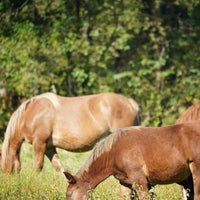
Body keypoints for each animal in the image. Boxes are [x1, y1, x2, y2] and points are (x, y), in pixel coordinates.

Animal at [1, 92, 141, 173]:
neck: (32, 113)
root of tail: (131, 103)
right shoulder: (49, 148)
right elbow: (59, 168)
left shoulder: (39, 144)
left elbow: (38, 166)